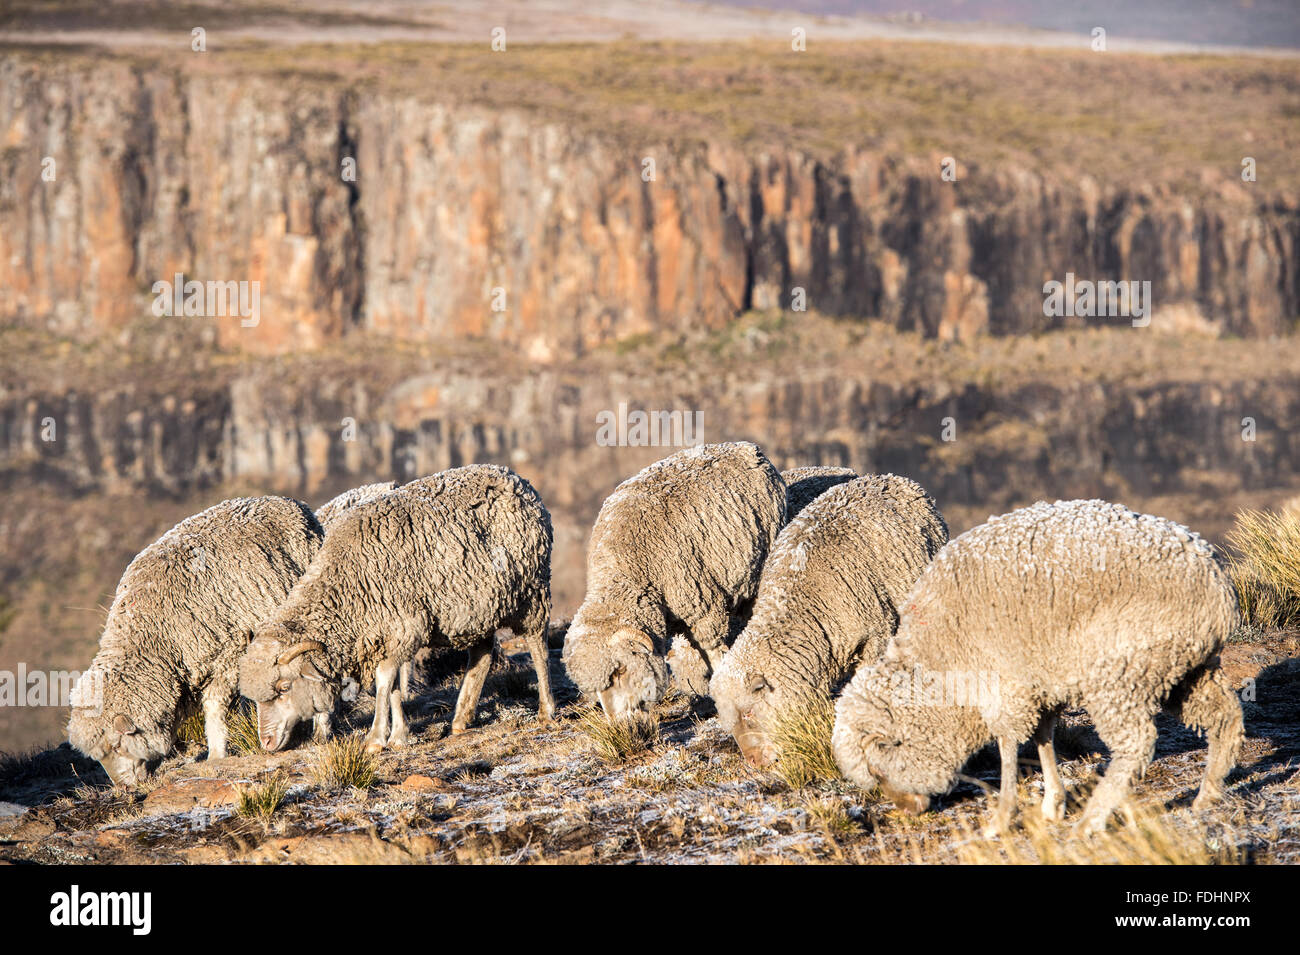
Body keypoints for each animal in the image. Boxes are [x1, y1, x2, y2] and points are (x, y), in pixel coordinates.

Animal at [66, 497, 323, 785]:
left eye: (116, 745)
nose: (124, 788)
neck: (154, 639)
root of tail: (289, 502)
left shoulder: (226, 655)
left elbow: (214, 710)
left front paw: (216, 754)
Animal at [238, 464, 556, 754]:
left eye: (284, 688)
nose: (266, 743)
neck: (347, 585)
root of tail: (516, 478)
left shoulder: (404, 628)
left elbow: (384, 681)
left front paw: (376, 739)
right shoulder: (384, 638)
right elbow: (391, 688)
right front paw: (399, 735)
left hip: (532, 589)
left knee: (537, 644)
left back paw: (546, 710)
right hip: (478, 608)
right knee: (482, 656)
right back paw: (460, 719)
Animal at [562, 441, 786, 718]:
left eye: (620, 671)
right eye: (597, 690)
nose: (621, 723)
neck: (630, 572)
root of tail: (746, 447)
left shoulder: (703, 607)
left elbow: (714, 651)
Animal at [831, 499, 1245, 835]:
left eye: (880, 770)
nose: (908, 811)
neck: (939, 663)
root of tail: (1216, 583)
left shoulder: (1003, 683)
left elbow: (1008, 745)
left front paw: (1002, 817)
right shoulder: (1040, 679)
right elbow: (1044, 736)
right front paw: (1052, 802)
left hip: (1122, 670)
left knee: (1136, 744)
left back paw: (1093, 819)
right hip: (1185, 667)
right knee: (1225, 716)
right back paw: (1208, 793)